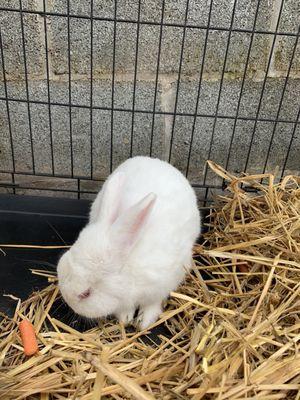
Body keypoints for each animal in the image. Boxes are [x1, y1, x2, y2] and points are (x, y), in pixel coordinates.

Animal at [57, 155, 200, 328]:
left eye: (86, 294)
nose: (67, 300)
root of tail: (154, 160)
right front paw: (125, 319)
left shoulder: (162, 286)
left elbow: (152, 305)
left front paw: (143, 323)